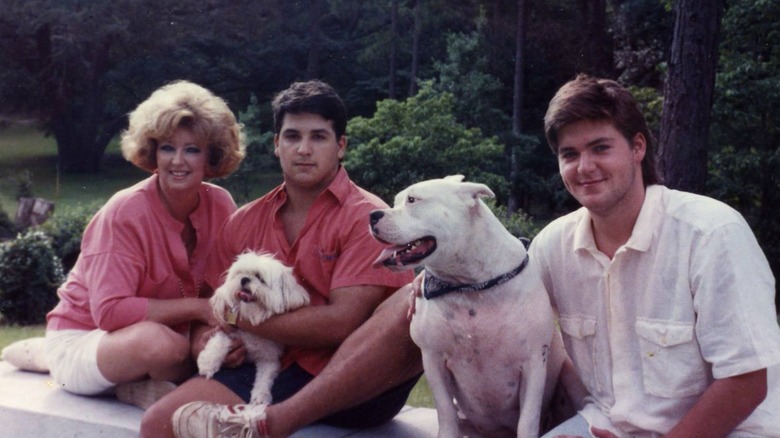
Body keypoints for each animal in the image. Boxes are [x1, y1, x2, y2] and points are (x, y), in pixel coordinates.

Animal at [197, 252, 310, 406]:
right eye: (240, 273)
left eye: (260, 278)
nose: (244, 279)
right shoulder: (226, 329)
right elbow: (218, 342)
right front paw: (207, 363)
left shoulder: (269, 358)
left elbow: (264, 378)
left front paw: (260, 397)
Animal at [368, 176, 564, 436]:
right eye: (395, 201)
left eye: (412, 199)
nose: (372, 215)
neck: (469, 286)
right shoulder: (433, 360)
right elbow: (446, 413)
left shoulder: (533, 364)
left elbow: (528, 420)